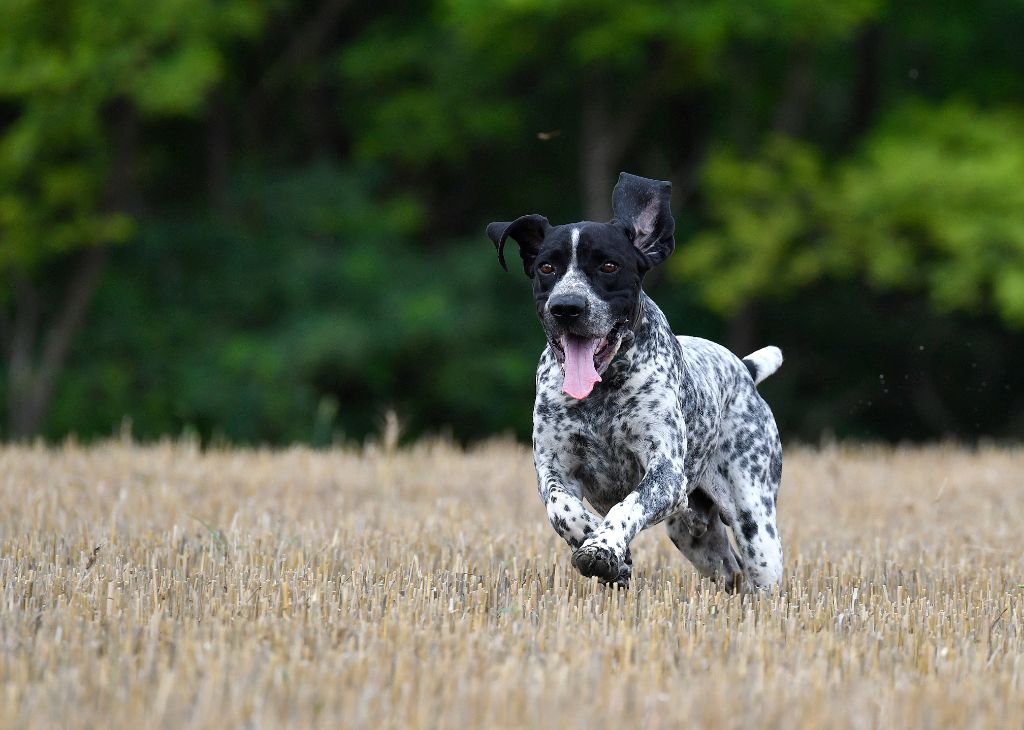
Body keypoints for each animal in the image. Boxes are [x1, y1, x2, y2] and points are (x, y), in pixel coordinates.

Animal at [487, 174, 782, 589]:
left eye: (609, 265)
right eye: (547, 267)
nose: (566, 307)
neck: (602, 391)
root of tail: (744, 369)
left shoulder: (665, 474)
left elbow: (628, 506)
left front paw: (603, 546)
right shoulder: (553, 468)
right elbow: (563, 510)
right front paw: (599, 542)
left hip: (756, 525)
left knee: (759, 574)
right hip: (693, 535)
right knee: (730, 570)